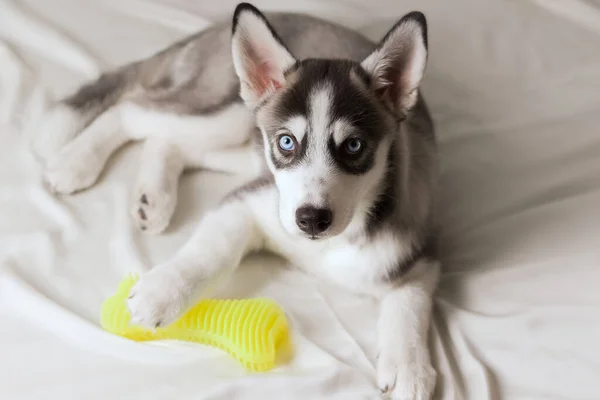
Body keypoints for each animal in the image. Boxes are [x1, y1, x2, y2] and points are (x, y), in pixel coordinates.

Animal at [31, 2, 440, 396]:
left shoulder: (419, 252)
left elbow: (409, 303)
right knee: (132, 109)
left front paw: (408, 366)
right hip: (226, 114)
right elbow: (209, 256)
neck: (326, 245)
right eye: (286, 142)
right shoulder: (250, 202)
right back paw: (75, 162)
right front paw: (162, 292)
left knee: (166, 141)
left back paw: (154, 196)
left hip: (242, 143)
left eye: (354, 146)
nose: (310, 219)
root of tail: (210, 31)